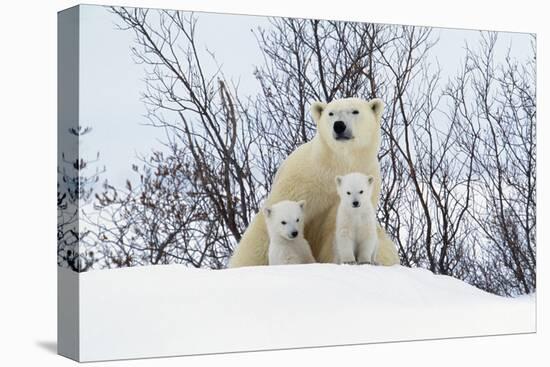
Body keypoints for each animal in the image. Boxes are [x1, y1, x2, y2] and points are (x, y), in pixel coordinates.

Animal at [229, 98, 402, 268]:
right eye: (331, 113)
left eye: (355, 111)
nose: (339, 125)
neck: (337, 163)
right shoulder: (300, 180)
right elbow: (265, 228)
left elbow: (334, 230)